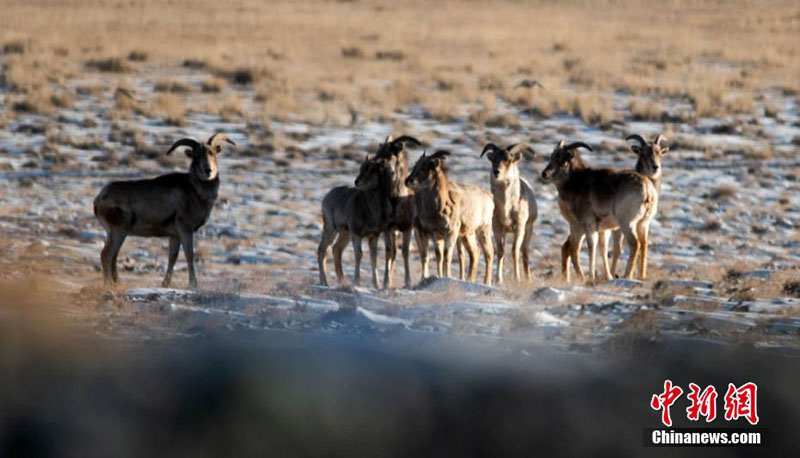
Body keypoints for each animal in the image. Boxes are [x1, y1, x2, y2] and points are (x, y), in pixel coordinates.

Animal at [94, 132, 236, 288]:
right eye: (196, 156)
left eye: (213, 154)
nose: (208, 170)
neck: (196, 191)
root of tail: (99, 199)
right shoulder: (185, 229)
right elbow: (189, 255)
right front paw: (193, 284)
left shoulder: (174, 236)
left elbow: (172, 257)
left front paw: (165, 284)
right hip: (118, 231)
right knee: (106, 255)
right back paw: (108, 285)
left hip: (117, 233)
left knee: (113, 256)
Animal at [318, 156, 396, 288]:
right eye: (361, 168)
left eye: (371, 170)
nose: (357, 182)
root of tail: (327, 197)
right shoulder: (356, 234)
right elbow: (359, 254)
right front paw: (357, 282)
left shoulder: (373, 236)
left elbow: (373, 257)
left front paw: (376, 285)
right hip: (331, 229)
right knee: (322, 250)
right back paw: (325, 283)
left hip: (344, 234)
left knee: (336, 249)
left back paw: (341, 280)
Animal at [374, 134, 424, 288]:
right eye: (378, 151)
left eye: (390, 153)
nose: (375, 163)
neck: (396, 200)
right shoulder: (388, 228)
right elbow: (389, 251)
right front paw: (386, 283)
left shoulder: (407, 227)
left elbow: (406, 252)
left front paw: (408, 283)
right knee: (395, 252)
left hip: (418, 230)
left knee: (422, 252)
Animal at [406, 150, 494, 284]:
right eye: (416, 166)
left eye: (426, 168)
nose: (408, 181)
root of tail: (489, 197)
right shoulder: (433, 234)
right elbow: (435, 256)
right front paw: (428, 277)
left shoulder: (451, 232)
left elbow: (447, 256)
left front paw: (447, 276)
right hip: (467, 235)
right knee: (475, 252)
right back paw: (469, 279)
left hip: (483, 229)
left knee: (489, 253)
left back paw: (486, 282)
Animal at [482, 141, 536, 284]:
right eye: (493, 159)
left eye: (508, 160)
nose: (496, 172)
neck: (506, 207)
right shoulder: (497, 228)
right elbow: (501, 252)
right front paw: (498, 280)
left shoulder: (520, 227)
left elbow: (515, 251)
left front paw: (517, 279)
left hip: (528, 230)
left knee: (524, 252)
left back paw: (528, 279)